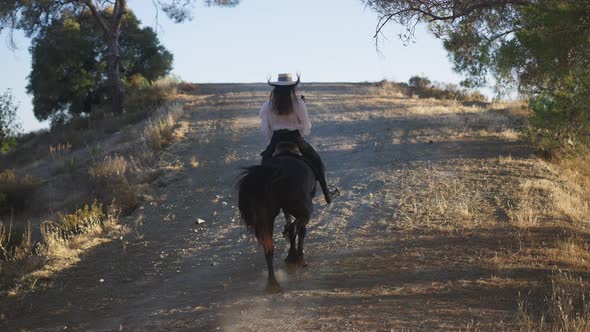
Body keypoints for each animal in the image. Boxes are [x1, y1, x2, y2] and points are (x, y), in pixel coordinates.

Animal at [237, 145, 320, 294]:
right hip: (303, 210)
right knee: (296, 227)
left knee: (269, 248)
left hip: (265, 218)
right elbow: (300, 230)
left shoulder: (284, 210)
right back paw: (294, 257)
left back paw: (273, 284)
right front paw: (298, 256)